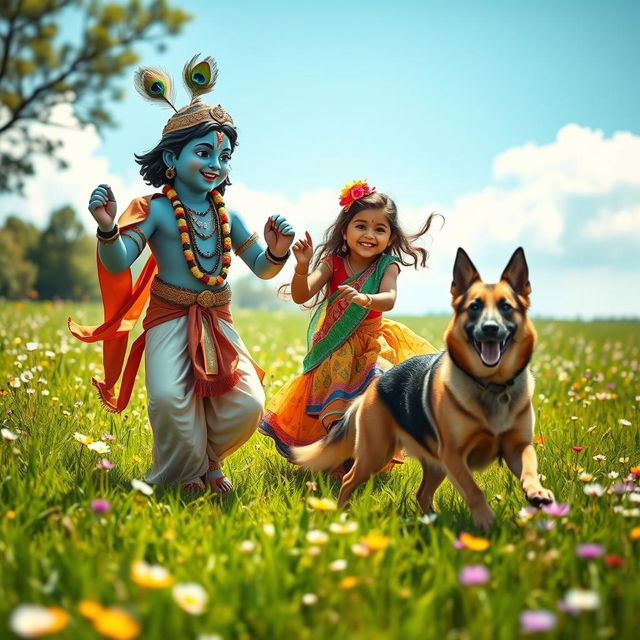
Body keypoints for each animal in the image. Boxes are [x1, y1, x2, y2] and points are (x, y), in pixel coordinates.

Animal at [292, 248, 552, 528]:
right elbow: (473, 490)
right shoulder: (453, 455)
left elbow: (529, 466)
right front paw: (485, 519)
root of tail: (367, 392)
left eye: (506, 307)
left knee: (422, 492)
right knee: (350, 480)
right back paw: (341, 512)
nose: (490, 328)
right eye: (474, 307)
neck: (492, 385)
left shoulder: (517, 446)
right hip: (377, 451)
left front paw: (538, 492)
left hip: (432, 464)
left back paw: (432, 521)